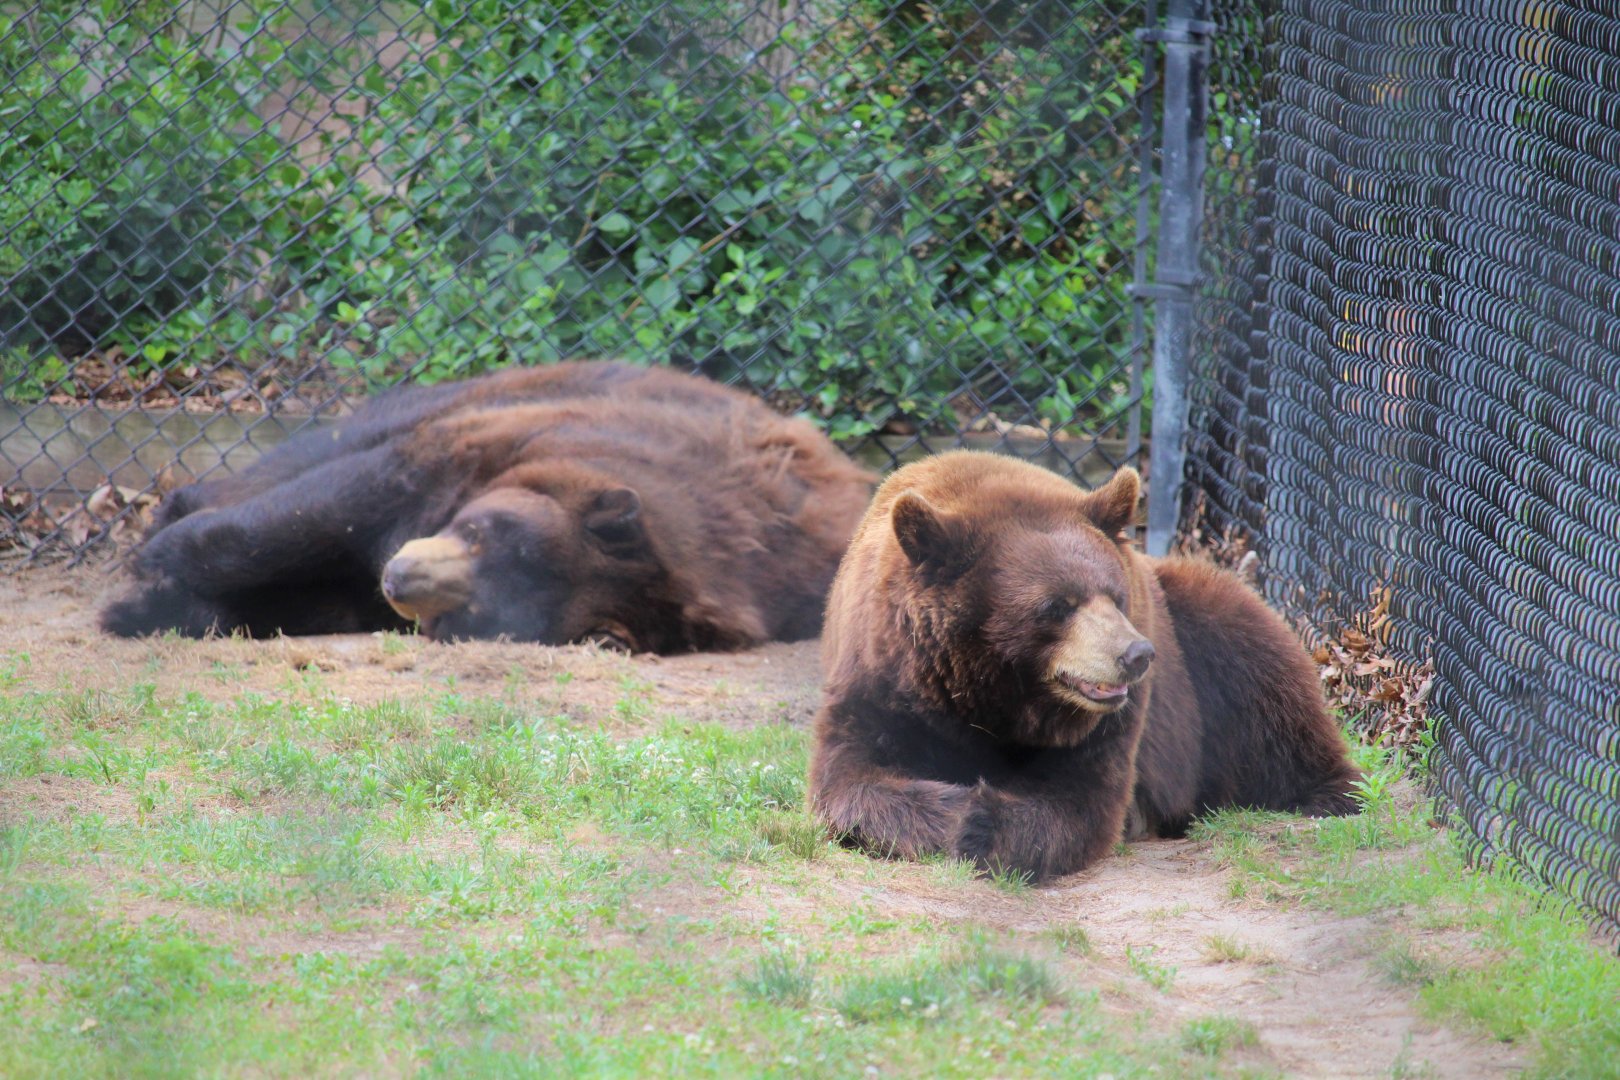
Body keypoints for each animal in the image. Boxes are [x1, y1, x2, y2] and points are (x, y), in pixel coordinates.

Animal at [101, 361, 876, 652]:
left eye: (475, 614)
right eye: (479, 530)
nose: (400, 577)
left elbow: (322, 594)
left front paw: (165, 602)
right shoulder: (512, 440)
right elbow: (325, 507)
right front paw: (149, 577)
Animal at [808, 450, 1359, 881]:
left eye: (1114, 594)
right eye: (1057, 605)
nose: (1136, 655)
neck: (988, 693)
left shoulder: (1107, 725)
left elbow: (1079, 797)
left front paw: (985, 821)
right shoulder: (882, 676)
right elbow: (851, 777)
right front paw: (957, 812)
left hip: (1202, 638)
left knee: (1267, 689)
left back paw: (1325, 795)